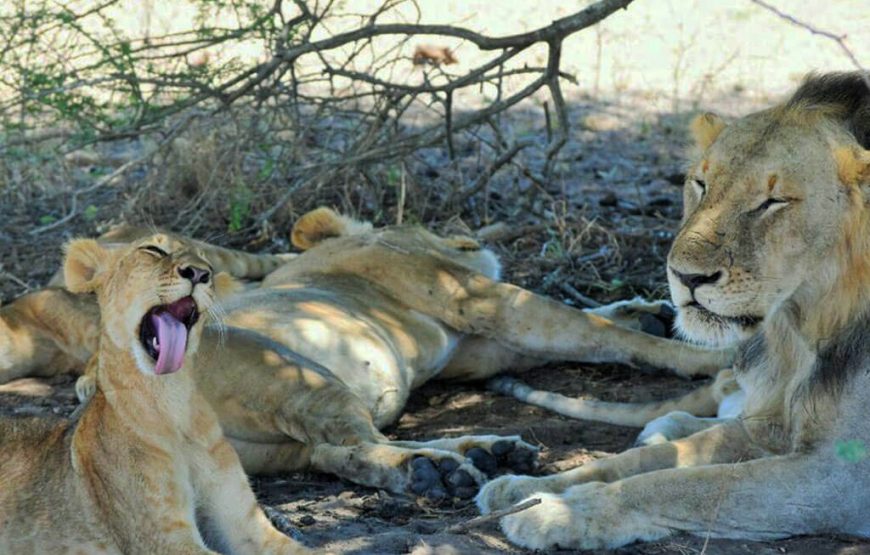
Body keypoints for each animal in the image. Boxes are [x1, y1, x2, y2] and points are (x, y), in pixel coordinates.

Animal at [0, 209, 732, 501]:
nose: (470, 233)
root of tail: (94, 383)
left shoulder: (476, 348)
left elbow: (591, 323)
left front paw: (646, 309)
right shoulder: (480, 301)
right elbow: (596, 333)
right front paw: (705, 357)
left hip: (269, 447)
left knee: (337, 452)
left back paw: (474, 457)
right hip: (297, 376)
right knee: (359, 442)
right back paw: (443, 467)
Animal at [0, 234, 308, 554]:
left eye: (208, 263)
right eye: (153, 250)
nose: (199, 273)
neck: (172, 403)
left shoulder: (246, 526)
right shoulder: (164, 539)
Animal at [476, 71, 870, 550]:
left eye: (772, 202)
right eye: (701, 184)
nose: (686, 277)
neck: (801, 330)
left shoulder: (841, 475)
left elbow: (690, 487)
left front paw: (557, 513)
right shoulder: (767, 425)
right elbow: (638, 463)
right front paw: (524, 488)